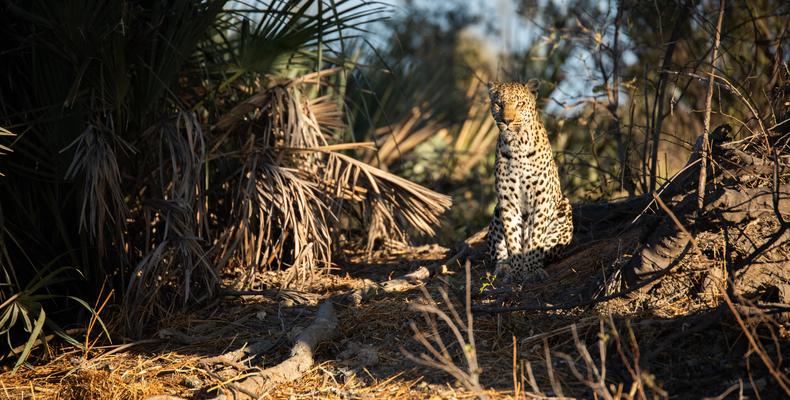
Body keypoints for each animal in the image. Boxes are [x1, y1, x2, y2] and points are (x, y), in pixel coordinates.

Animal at [486, 79, 572, 282]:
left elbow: (536, 236)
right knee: (498, 252)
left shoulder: (541, 199)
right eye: (498, 104)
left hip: (565, 207)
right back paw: (504, 268)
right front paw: (517, 270)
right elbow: (511, 238)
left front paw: (532, 269)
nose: (507, 121)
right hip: (496, 212)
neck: (517, 145)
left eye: (520, 104)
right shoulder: (507, 201)